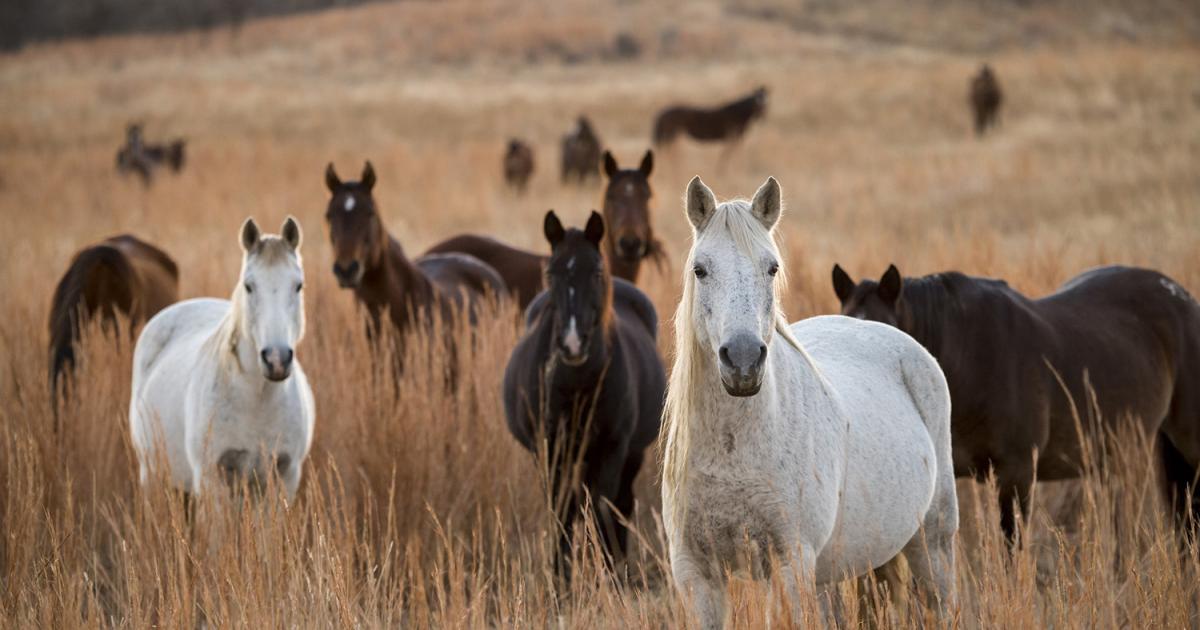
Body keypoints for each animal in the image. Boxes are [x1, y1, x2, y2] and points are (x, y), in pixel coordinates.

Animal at [130, 217, 314, 501]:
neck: (258, 399)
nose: (276, 359)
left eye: (298, 286)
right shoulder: (212, 478)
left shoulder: (285, 475)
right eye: (249, 286)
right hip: (151, 474)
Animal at [503, 210, 665, 574]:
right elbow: (562, 510)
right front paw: (561, 576)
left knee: (619, 503)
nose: (573, 343)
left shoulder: (612, 449)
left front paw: (607, 572)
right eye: (551, 273)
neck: (576, 384)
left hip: (629, 454)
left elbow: (603, 509)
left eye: (597, 271)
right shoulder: (549, 449)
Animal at [661, 177, 957, 629]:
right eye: (700, 269)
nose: (743, 360)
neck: (733, 449)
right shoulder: (696, 573)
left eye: (771, 268)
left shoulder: (788, 564)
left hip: (932, 543)